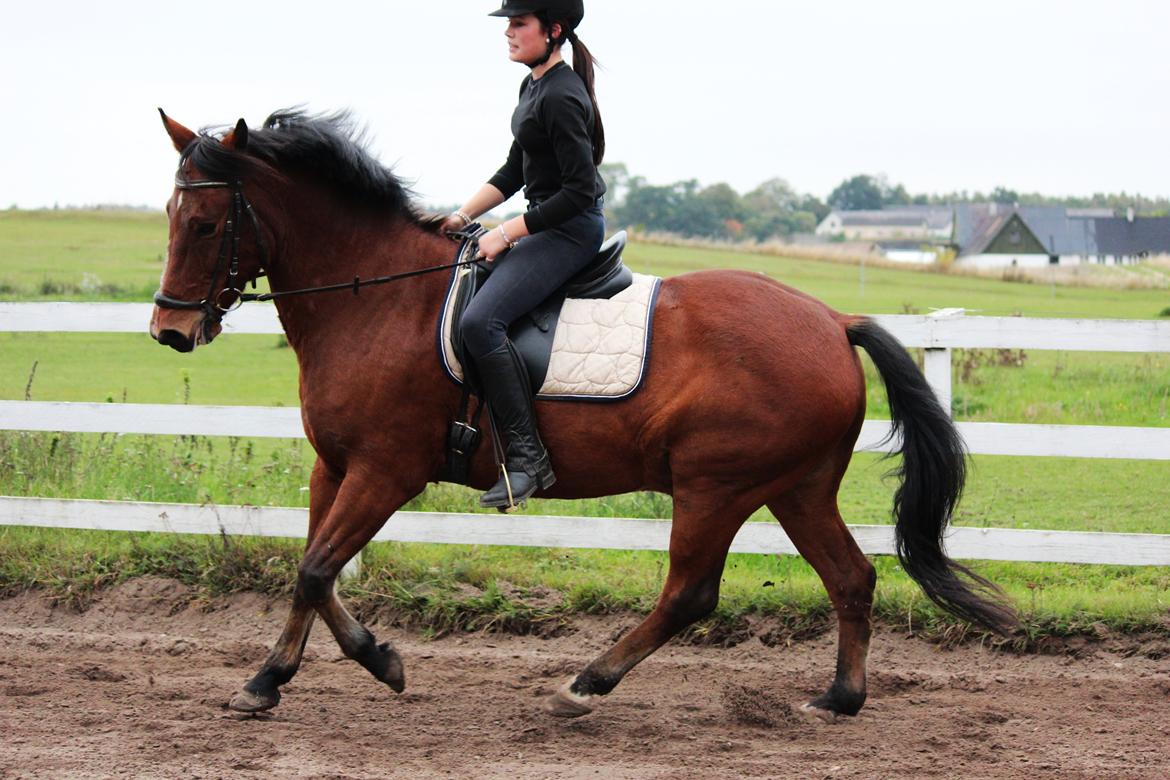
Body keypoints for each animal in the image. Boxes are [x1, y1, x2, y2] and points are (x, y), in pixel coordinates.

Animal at [153, 109, 1015, 725]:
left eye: (204, 224)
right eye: (168, 214)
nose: (170, 331)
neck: (376, 298)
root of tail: (833, 321)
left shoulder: (385, 470)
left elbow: (314, 569)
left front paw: (307, 673)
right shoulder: (333, 466)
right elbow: (313, 572)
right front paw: (322, 667)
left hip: (716, 486)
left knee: (691, 594)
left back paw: (584, 685)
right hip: (795, 486)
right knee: (850, 577)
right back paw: (839, 699)